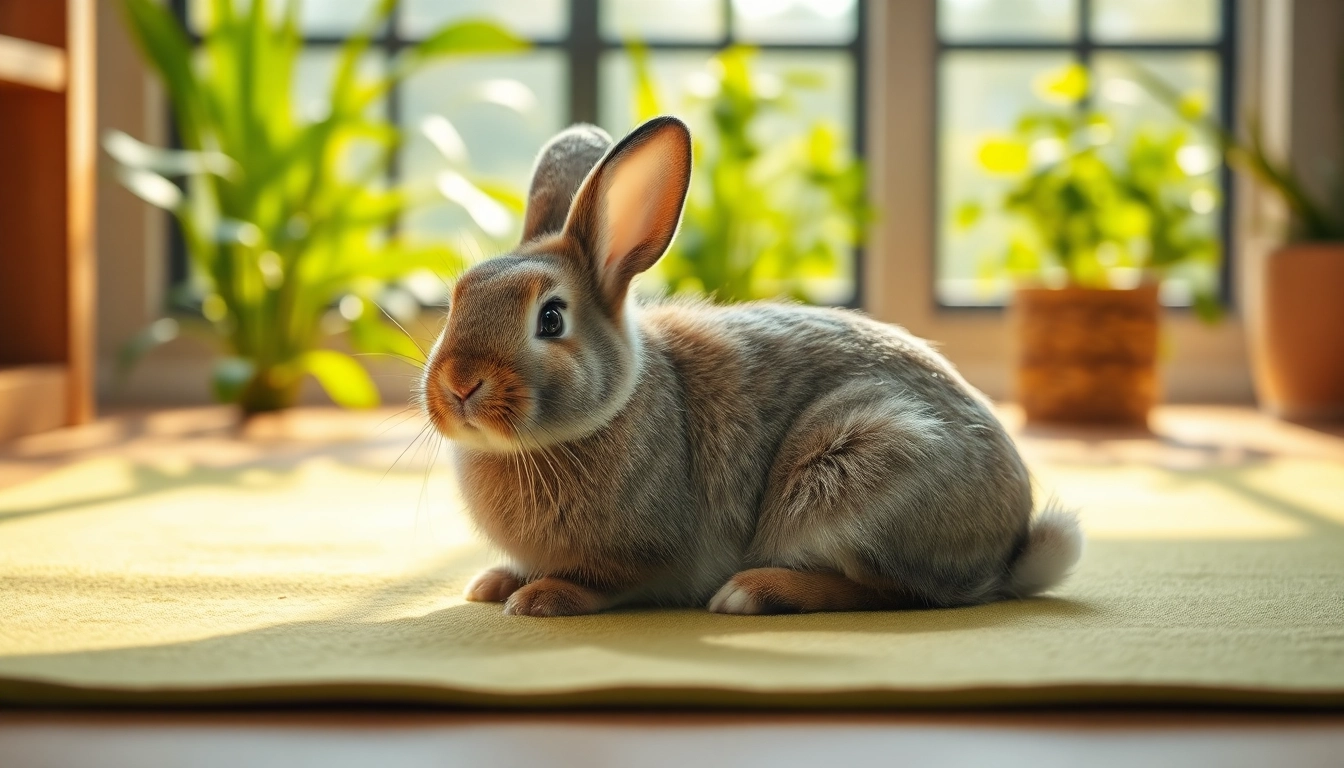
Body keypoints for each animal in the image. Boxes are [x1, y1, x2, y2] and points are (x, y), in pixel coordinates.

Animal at [419, 116, 1082, 617]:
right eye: (457, 299)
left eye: (551, 319)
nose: (459, 385)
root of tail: (1009, 548)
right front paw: (494, 583)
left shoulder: (645, 553)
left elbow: (609, 582)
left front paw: (539, 597)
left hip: (860, 468)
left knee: (894, 592)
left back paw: (753, 592)